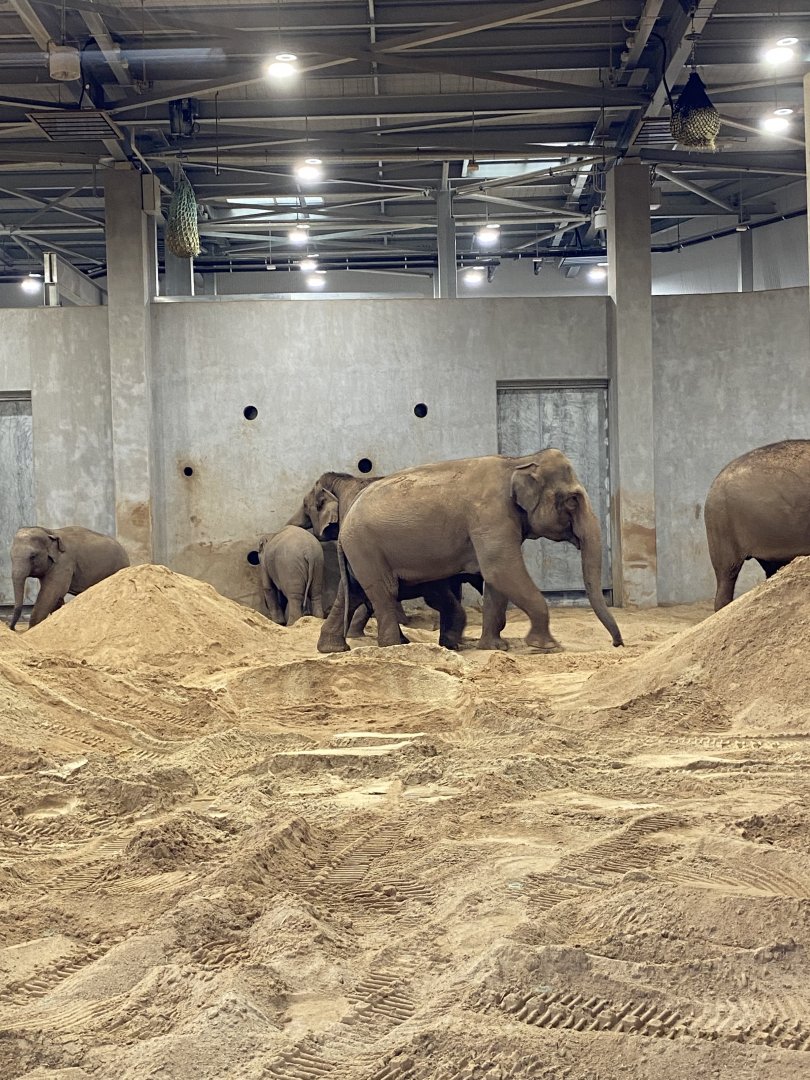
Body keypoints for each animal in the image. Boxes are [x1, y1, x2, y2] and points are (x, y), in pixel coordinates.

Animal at [317, 449, 623, 655]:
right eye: (573, 500)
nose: (617, 644)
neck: (516, 462)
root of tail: (347, 517)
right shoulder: (490, 515)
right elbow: (501, 569)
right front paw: (547, 646)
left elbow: (497, 579)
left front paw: (495, 646)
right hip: (367, 548)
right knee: (384, 591)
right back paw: (395, 646)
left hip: (359, 552)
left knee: (353, 592)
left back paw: (332, 648)